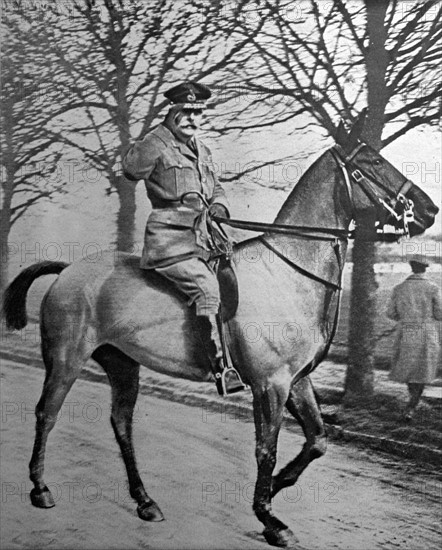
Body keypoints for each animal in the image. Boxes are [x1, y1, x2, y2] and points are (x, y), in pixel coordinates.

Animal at [2, 115, 438, 548]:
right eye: (372, 162)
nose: (429, 208)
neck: (287, 271)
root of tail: (67, 270)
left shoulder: (297, 381)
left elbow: (317, 439)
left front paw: (275, 487)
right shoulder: (270, 385)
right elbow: (266, 449)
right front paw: (268, 517)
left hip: (123, 364)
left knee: (121, 423)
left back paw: (145, 501)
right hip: (65, 359)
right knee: (47, 413)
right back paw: (40, 489)